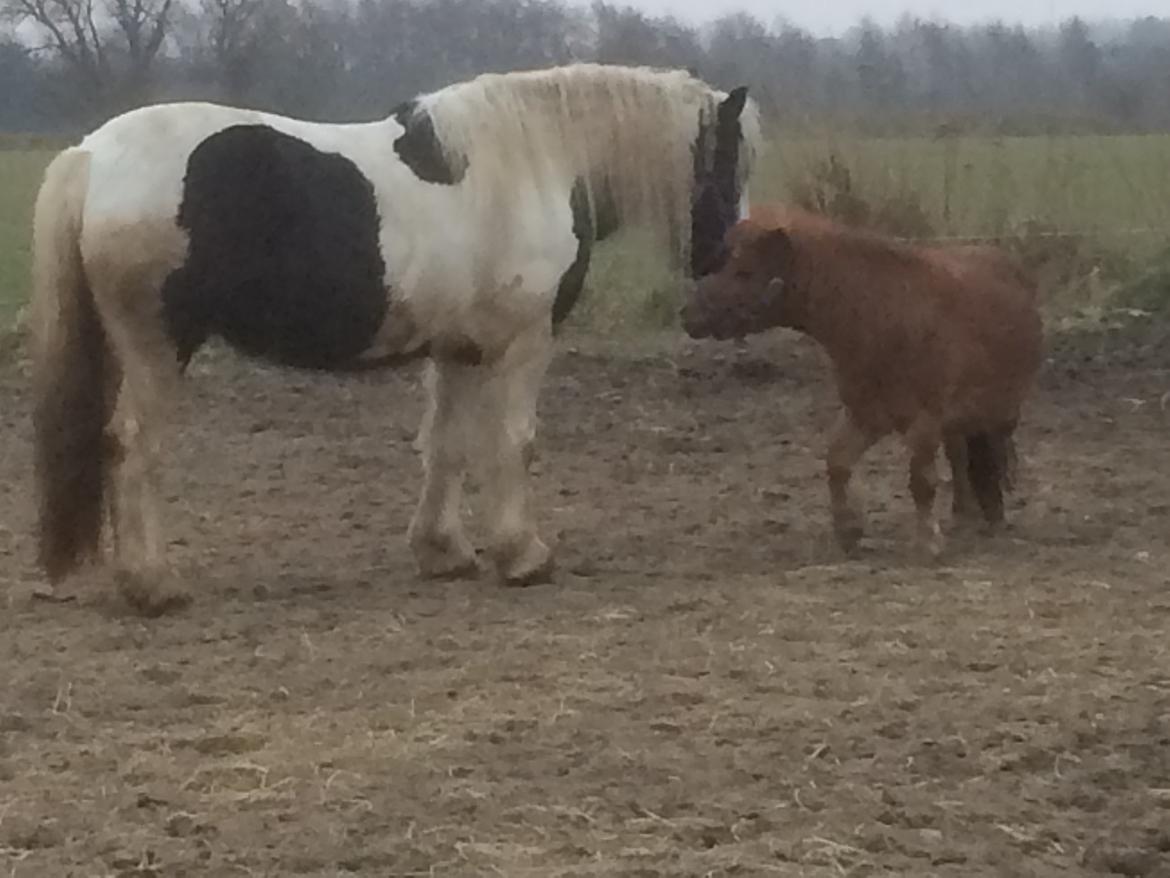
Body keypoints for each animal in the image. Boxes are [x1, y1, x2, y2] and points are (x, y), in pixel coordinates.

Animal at [32, 62, 762, 613]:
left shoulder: (459, 348)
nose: (725, 256)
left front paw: (444, 552)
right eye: (728, 164)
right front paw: (523, 556)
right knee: (134, 450)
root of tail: (92, 156)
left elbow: (445, 448)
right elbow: (513, 442)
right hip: (158, 349)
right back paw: (153, 586)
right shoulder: (524, 344)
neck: (538, 163)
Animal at [678, 206, 1043, 557]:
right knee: (960, 457)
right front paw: (849, 531)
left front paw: (927, 541)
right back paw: (965, 515)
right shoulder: (865, 415)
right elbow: (837, 462)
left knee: (990, 454)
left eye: (744, 272)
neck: (880, 319)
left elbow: (921, 481)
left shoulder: (924, 422)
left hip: (999, 413)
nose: (688, 314)